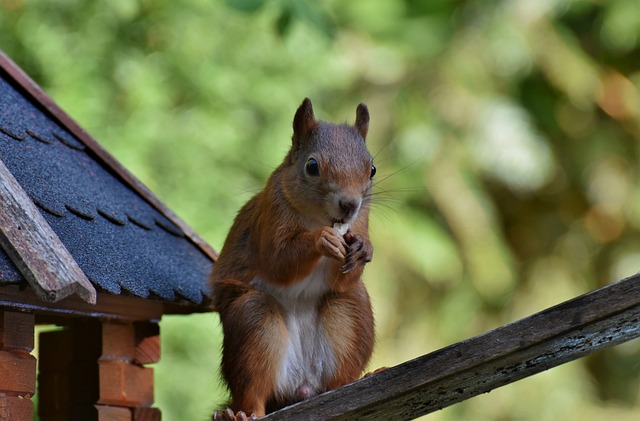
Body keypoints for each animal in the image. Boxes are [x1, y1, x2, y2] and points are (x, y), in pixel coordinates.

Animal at [210, 98, 376, 420]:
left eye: (372, 169)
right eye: (312, 166)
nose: (349, 205)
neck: (318, 218)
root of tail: (302, 385)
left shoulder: (361, 220)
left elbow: (344, 277)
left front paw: (364, 248)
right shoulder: (271, 216)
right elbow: (279, 261)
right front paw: (321, 240)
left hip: (350, 312)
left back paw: (355, 380)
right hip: (255, 323)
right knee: (253, 390)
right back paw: (243, 413)